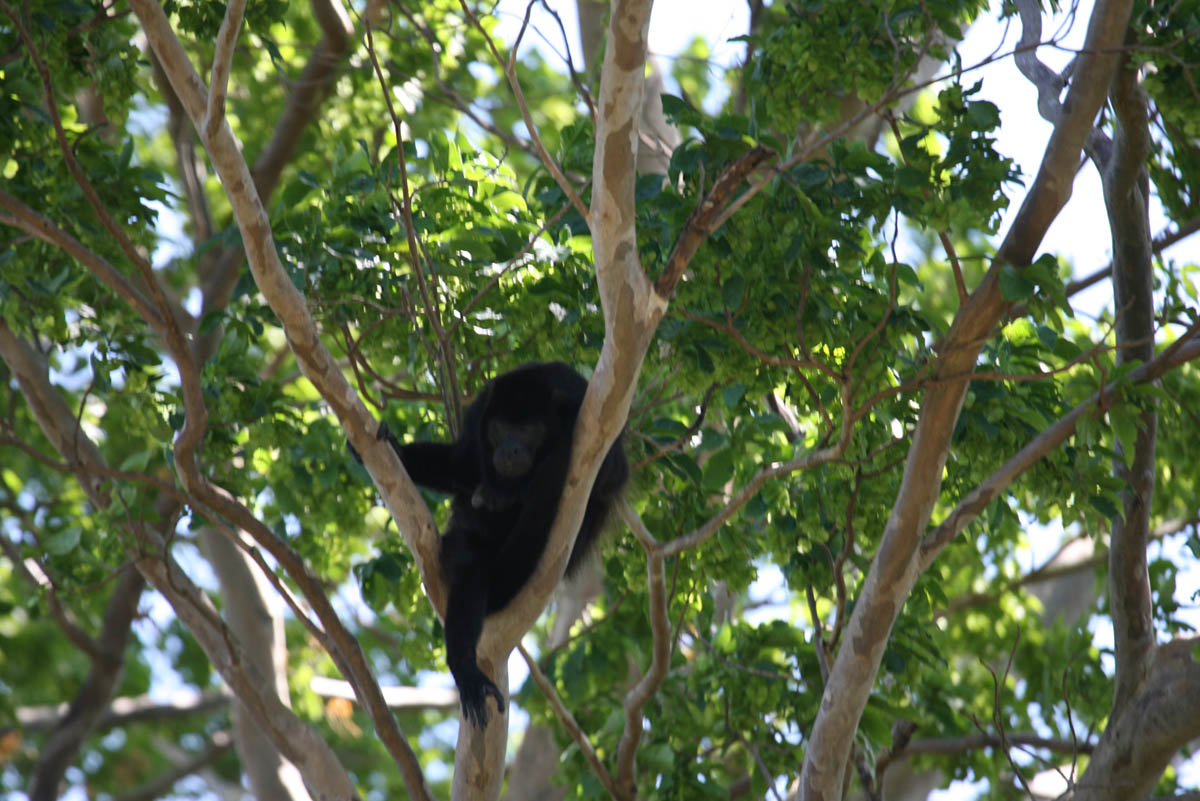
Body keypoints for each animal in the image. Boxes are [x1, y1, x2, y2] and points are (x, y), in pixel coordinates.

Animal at [379, 362, 633, 724]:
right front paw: (396, 449)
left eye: (528, 429)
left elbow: (611, 471)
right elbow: (461, 463)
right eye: (500, 428)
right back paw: (465, 666)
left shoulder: (586, 408)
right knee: (470, 562)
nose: (510, 450)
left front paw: (508, 492)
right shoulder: (478, 414)